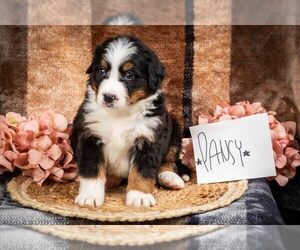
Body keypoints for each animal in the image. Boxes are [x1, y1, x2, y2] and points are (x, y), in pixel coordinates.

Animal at [71, 35, 185, 207]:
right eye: (101, 70)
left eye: (129, 75)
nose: (108, 97)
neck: (120, 114)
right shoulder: (89, 135)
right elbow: (91, 169)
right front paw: (90, 196)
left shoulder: (148, 137)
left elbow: (142, 171)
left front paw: (140, 196)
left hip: (175, 128)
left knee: (169, 158)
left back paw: (170, 178)